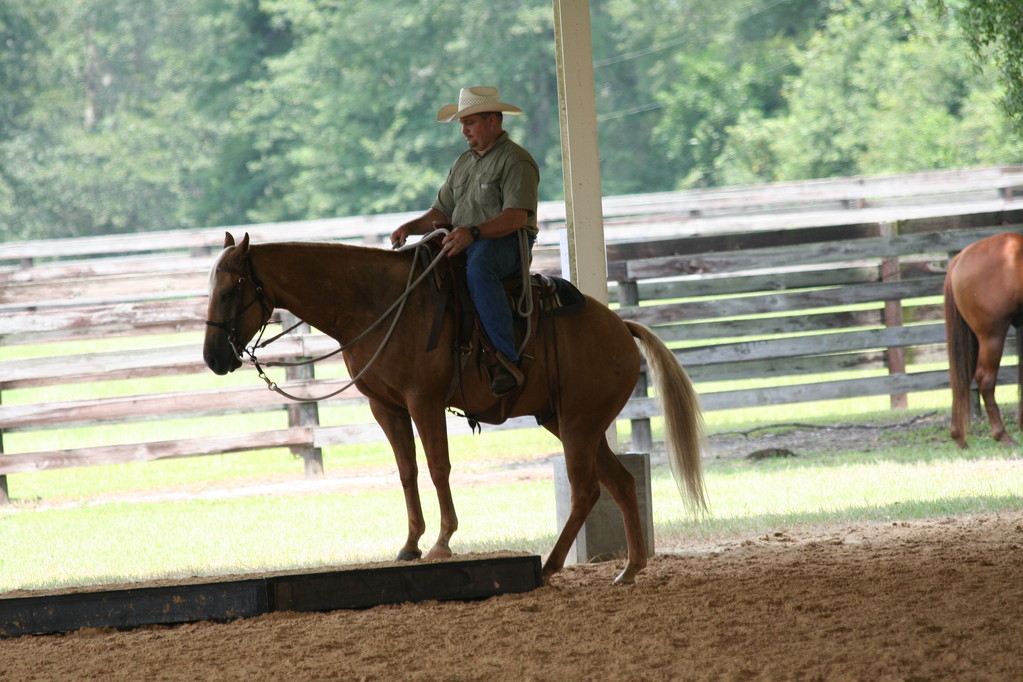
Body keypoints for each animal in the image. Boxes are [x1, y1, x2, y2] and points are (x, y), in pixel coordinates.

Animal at [203, 232, 707, 584]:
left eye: (230, 291)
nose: (212, 357)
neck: (379, 304)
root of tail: (620, 327)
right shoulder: (386, 407)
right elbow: (407, 471)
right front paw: (410, 543)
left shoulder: (423, 401)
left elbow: (438, 466)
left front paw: (443, 541)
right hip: (567, 423)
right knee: (621, 482)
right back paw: (629, 569)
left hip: (580, 425)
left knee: (586, 490)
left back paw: (550, 564)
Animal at [944, 231, 1023, 448]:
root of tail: (960, 257)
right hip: (992, 336)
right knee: (984, 379)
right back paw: (1001, 435)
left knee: (961, 379)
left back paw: (957, 435)